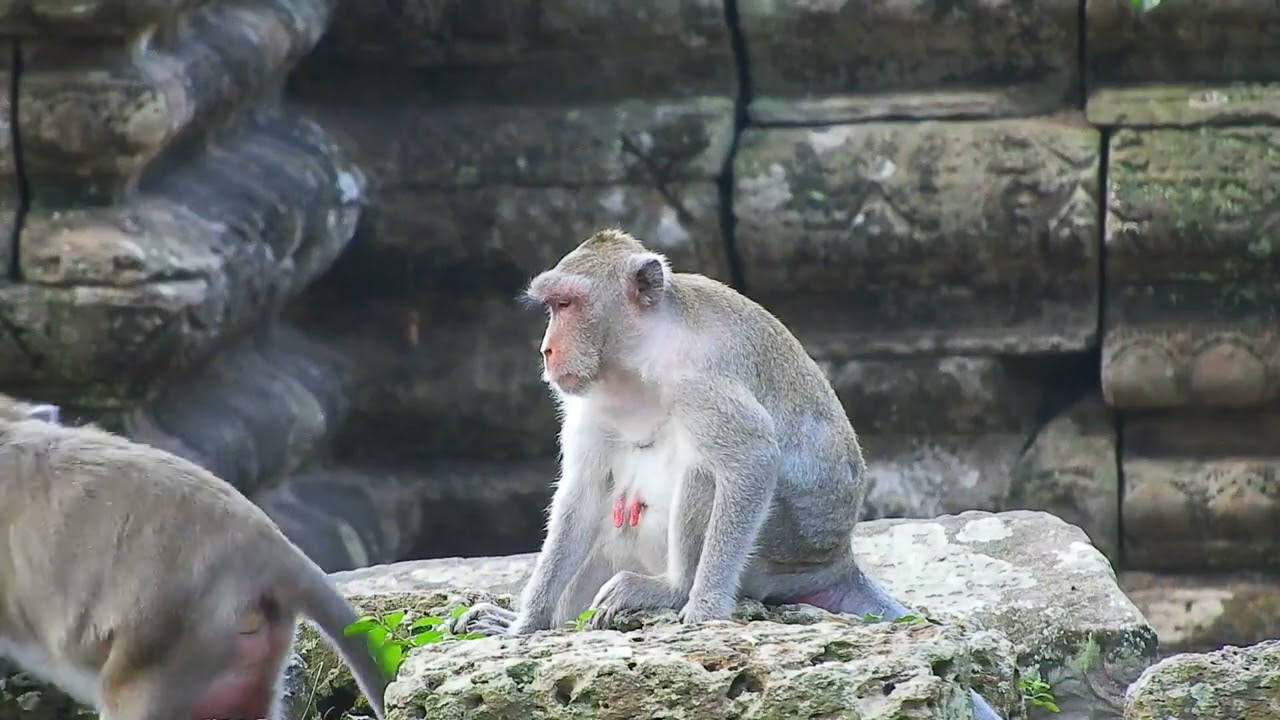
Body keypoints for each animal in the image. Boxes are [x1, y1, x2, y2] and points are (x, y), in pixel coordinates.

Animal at [449, 228, 1006, 720]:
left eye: (567, 305)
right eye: (551, 307)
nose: (546, 350)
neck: (639, 358)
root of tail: (836, 560)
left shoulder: (700, 380)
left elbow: (753, 457)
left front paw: (702, 614)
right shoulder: (588, 398)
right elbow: (582, 495)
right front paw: (523, 628)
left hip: (777, 552)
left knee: (705, 472)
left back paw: (672, 589)